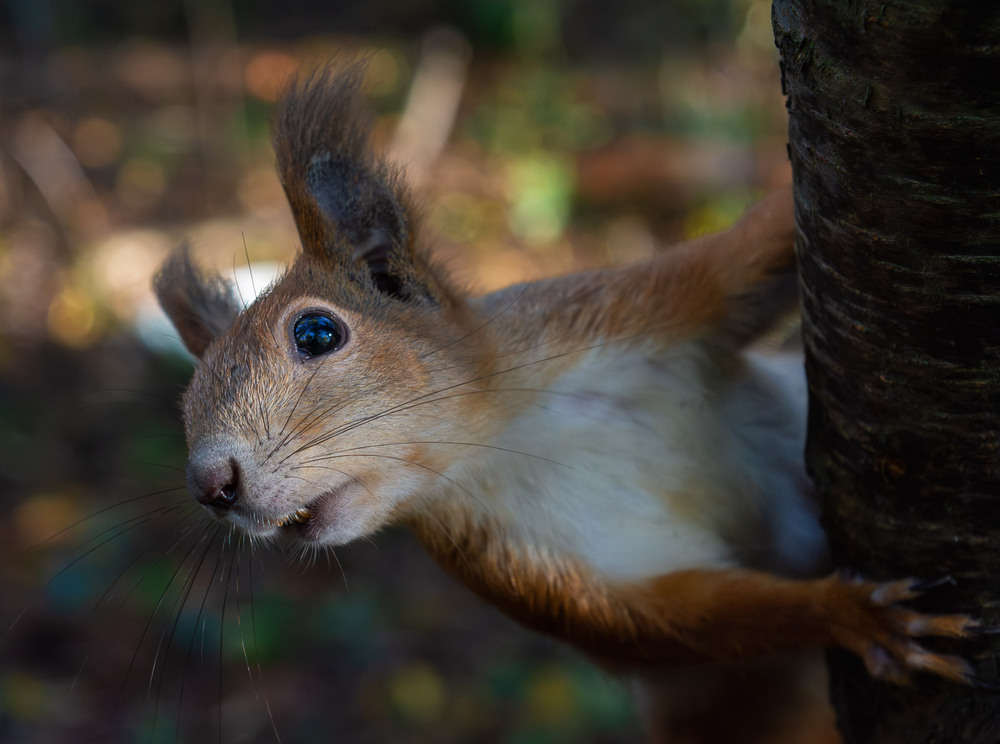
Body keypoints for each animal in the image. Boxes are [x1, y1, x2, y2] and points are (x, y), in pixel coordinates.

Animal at [154, 64, 976, 744]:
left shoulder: (641, 303)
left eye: (318, 332)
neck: (512, 432)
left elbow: (754, 250)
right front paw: (852, 615)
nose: (210, 485)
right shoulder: (529, 574)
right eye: (184, 402)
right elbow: (695, 622)